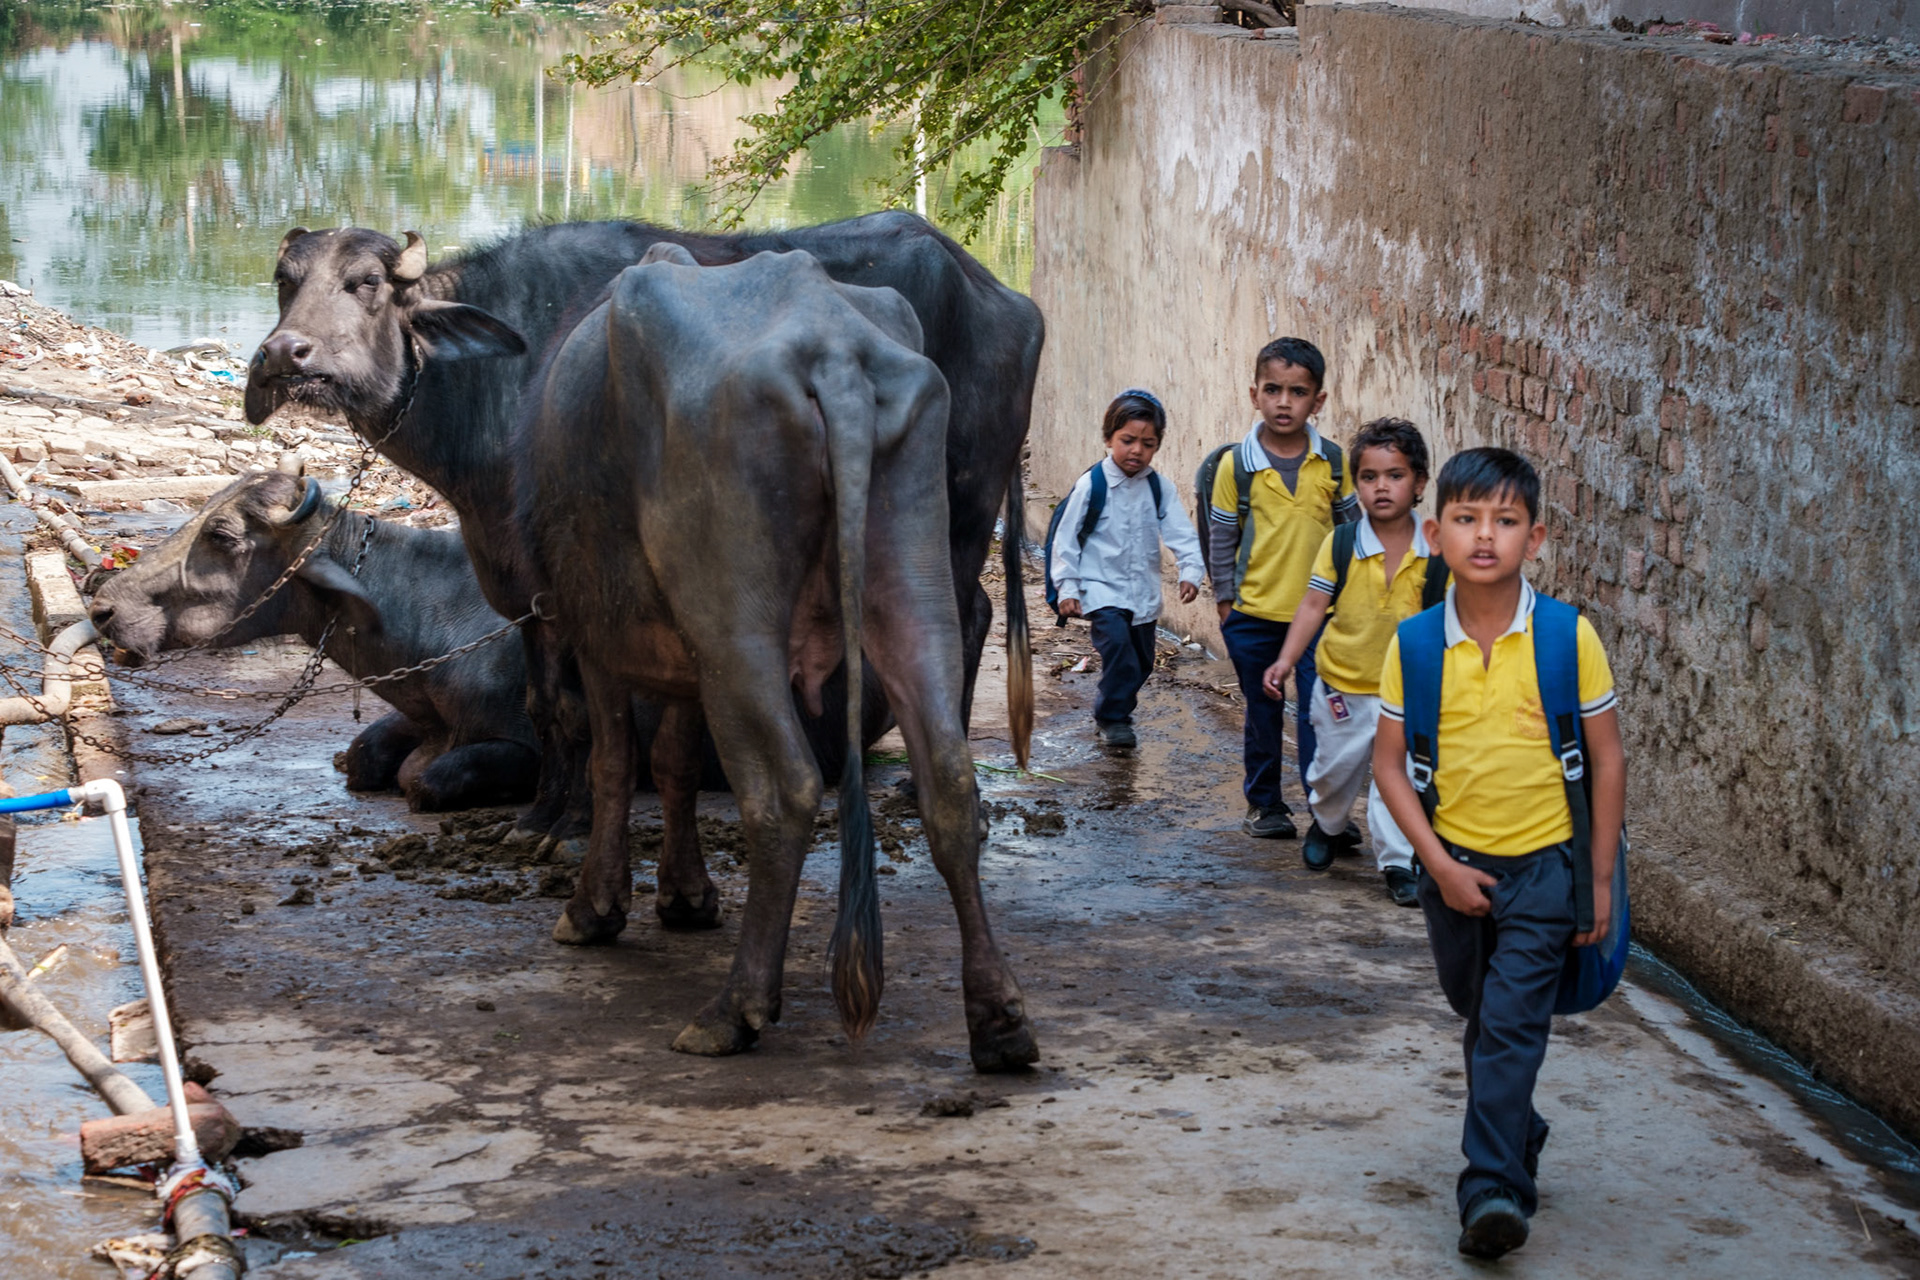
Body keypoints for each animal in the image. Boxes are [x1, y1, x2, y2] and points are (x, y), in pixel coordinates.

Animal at [242, 216, 1039, 928]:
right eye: (285, 280)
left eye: (365, 282)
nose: (285, 355)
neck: (498, 385)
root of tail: (1006, 298)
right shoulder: (524, 586)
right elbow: (545, 705)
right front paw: (536, 819)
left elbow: (587, 716)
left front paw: (572, 830)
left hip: (957, 512)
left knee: (963, 618)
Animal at [510, 243, 1035, 1071]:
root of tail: (836, 357)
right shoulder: (686, 663)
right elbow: (676, 760)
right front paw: (686, 896)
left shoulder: (599, 637)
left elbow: (617, 761)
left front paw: (596, 907)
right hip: (913, 579)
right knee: (949, 778)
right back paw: (999, 1019)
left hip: (737, 626)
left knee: (783, 789)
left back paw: (735, 1008)